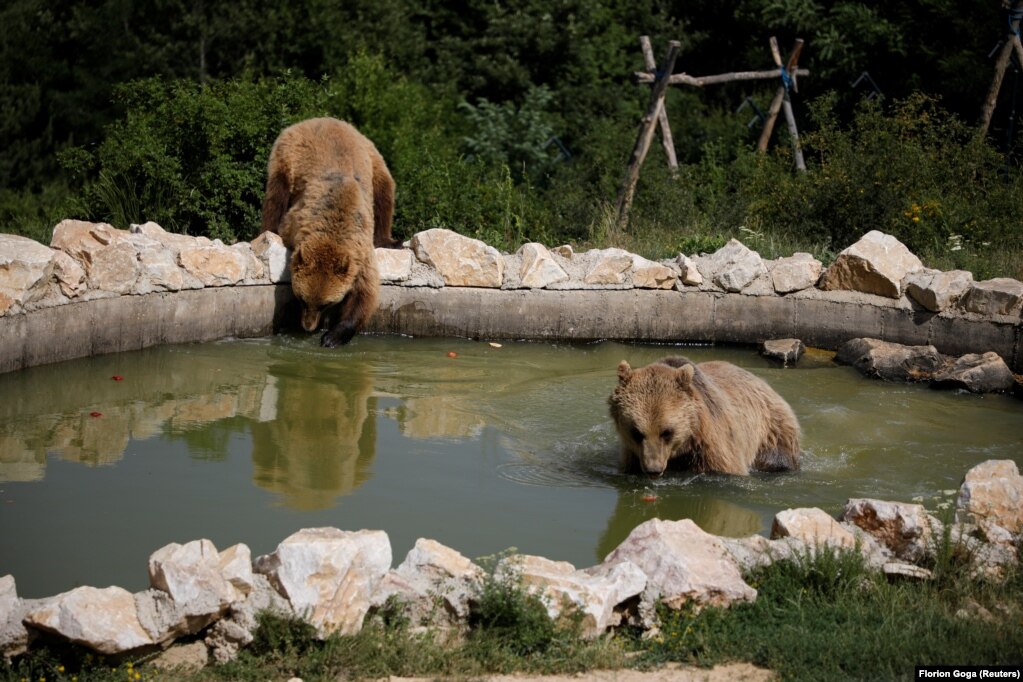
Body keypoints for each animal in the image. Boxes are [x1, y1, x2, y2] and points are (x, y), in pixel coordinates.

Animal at [259, 116, 398, 347]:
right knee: (276, 195)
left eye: (326, 304)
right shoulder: (295, 222)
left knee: (384, 192)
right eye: (302, 299)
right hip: (287, 155)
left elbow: (364, 294)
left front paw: (332, 336)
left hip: (373, 157)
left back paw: (388, 240)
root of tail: (323, 119)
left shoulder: (360, 252)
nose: (308, 327)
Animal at [605, 355, 797, 478]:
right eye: (636, 432)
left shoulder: (712, 448)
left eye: (667, 432)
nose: (653, 469)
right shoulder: (633, 456)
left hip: (771, 430)